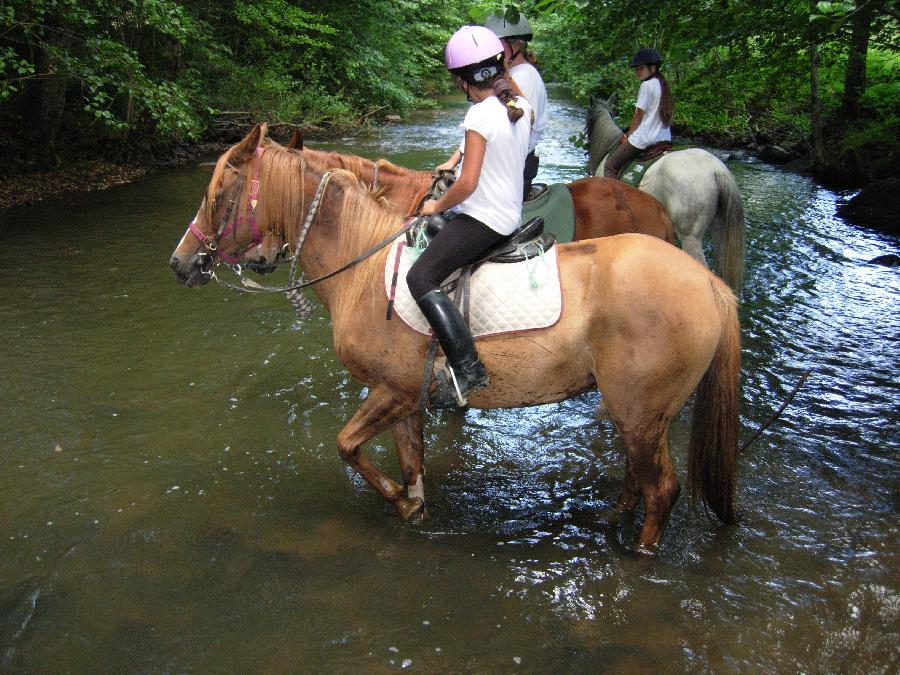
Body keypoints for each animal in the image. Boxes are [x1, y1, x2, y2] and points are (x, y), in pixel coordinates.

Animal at [171, 124, 740, 552]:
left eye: (218, 196)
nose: (181, 263)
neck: (363, 264)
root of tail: (706, 282)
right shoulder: (403, 398)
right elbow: (411, 464)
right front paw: (413, 507)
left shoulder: (390, 393)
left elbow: (346, 446)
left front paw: (400, 502)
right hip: (633, 413)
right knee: (637, 478)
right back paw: (608, 522)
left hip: (642, 413)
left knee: (661, 489)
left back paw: (640, 554)